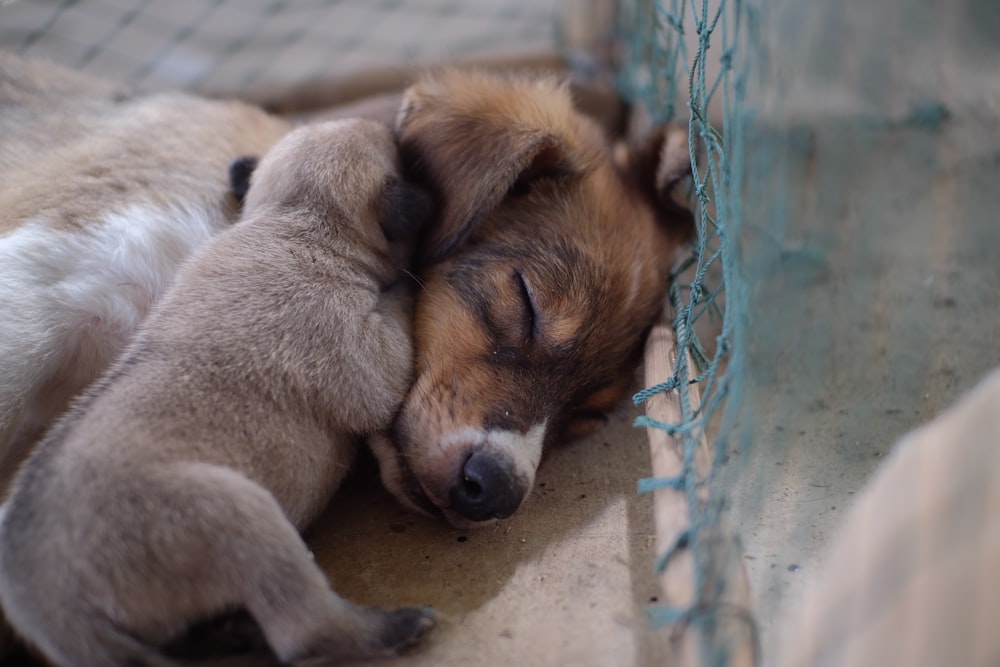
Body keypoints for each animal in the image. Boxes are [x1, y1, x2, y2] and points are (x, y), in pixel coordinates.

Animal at [0, 120, 438, 667]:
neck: (293, 219)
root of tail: (46, 606)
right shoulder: (370, 358)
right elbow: (397, 315)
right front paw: (411, 285)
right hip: (240, 514)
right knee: (305, 628)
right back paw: (391, 627)